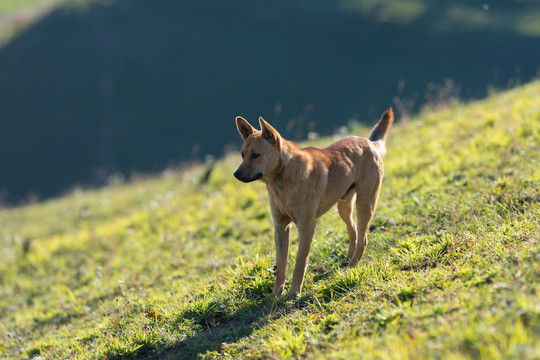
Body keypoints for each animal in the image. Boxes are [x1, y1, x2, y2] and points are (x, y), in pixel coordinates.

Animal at [232, 108, 392, 300]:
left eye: (256, 155)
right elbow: (281, 264)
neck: (281, 177)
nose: (236, 174)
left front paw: (293, 294)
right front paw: (276, 293)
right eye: (242, 155)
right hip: (344, 206)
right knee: (353, 229)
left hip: (365, 204)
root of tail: (370, 142)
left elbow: (300, 262)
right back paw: (348, 258)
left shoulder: (306, 226)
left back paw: (351, 266)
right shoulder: (281, 227)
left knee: (363, 239)